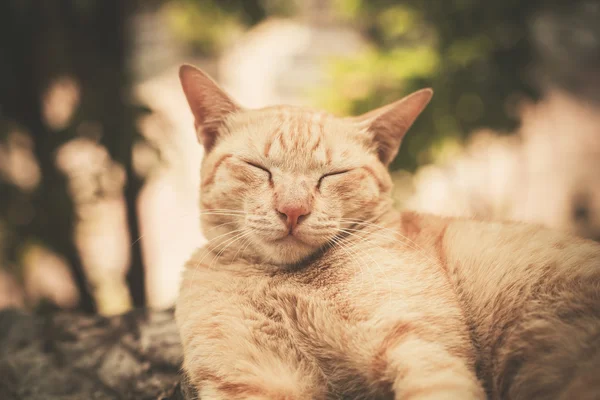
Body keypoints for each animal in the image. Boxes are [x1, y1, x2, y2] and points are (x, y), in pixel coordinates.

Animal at [173, 65, 600, 400]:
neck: (283, 282)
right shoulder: (255, 380)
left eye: (333, 175)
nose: (293, 210)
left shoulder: (419, 346)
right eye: (258, 167)